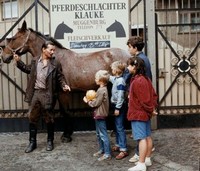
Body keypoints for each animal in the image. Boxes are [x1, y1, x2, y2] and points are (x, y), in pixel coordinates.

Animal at [1, 20, 131, 140]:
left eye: (14, 38)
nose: (4, 56)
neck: (55, 57)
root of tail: (129, 56)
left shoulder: (63, 92)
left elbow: (65, 112)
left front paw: (67, 135)